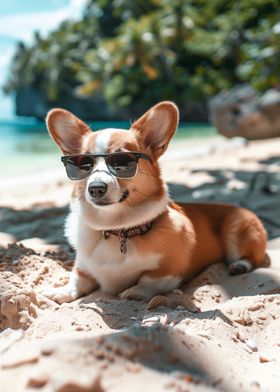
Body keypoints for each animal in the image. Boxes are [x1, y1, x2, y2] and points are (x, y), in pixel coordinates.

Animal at [44, 101, 268, 304]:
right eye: (84, 164)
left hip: (236, 229)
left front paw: (134, 292)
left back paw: (239, 265)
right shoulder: (83, 265)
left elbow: (149, 280)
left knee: (252, 256)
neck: (116, 229)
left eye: (122, 162)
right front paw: (62, 291)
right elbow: (77, 278)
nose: (96, 188)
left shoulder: (170, 269)